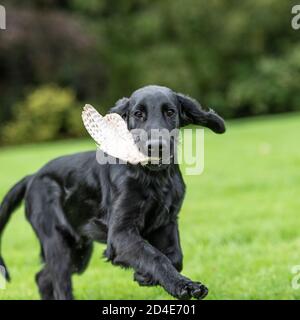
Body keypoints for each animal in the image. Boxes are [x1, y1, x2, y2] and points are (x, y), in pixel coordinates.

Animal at [0, 85, 225, 300]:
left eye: (170, 112)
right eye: (138, 114)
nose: (156, 146)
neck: (153, 177)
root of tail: (33, 176)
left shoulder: (167, 222)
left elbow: (175, 257)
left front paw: (145, 276)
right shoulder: (120, 234)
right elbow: (155, 256)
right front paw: (183, 285)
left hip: (79, 250)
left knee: (43, 278)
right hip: (57, 243)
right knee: (59, 282)